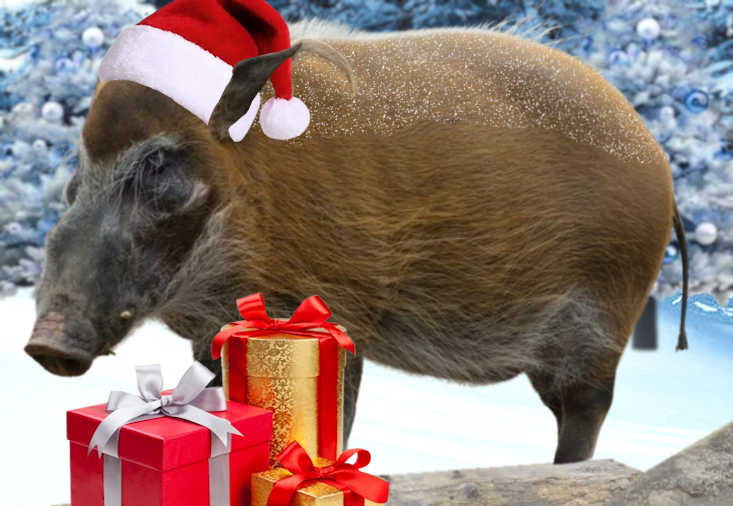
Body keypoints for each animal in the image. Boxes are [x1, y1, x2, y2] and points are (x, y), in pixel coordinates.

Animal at [25, 17, 689, 465]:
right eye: (77, 174)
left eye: (159, 163)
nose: (45, 343)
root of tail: (659, 162)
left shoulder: (337, 315)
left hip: (601, 321)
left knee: (588, 409)